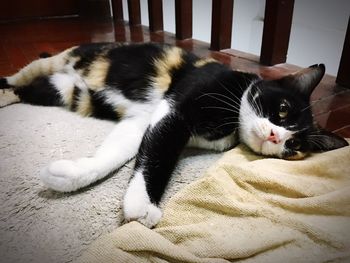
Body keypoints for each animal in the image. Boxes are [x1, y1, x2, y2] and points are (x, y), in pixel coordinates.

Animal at [0, 42, 348, 228]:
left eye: (295, 144)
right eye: (283, 110)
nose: (277, 137)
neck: (232, 116)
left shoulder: (141, 121)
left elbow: (120, 151)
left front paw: (70, 174)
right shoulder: (176, 108)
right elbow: (159, 153)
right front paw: (142, 205)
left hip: (65, 91)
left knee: (26, 90)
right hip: (57, 61)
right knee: (17, 77)